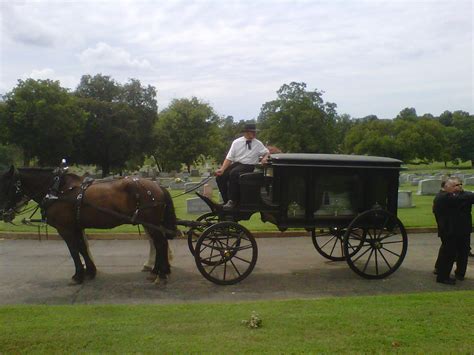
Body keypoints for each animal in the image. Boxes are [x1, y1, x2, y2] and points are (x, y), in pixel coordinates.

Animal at [0, 165, 178, 286]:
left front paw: (78, 275)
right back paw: (157, 271)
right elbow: (82, 248)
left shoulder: (65, 229)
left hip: (152, 223)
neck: (58, 190)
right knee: (159, 244)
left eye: (6, 187)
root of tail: (158, 186)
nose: (3, 214)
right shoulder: (76, 227)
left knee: (161, 244)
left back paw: (161, 274)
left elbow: (73, 251)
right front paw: (90, 271)